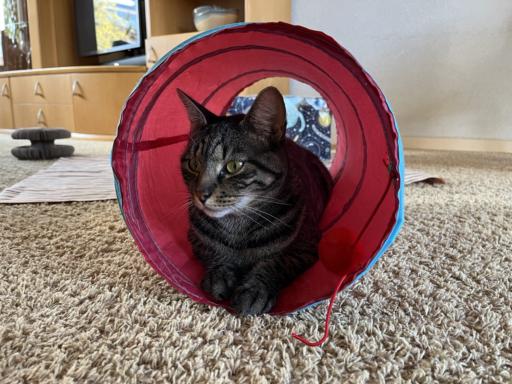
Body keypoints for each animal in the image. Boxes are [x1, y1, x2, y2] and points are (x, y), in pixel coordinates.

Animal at [178, 87, 334, 316]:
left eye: (234, 166)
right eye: (194, 164)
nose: (201, 194)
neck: (236, 226)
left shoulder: (307, 245)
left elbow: (276, 262)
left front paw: (255, 289)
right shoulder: (194, 238)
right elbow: (213, 252)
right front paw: (219, 275)